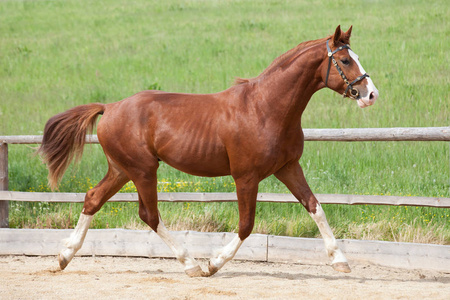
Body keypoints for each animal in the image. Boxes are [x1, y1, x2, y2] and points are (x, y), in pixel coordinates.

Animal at [37, 25, 380, 276]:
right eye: (345, 60)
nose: (370, 95)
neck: (266, 108)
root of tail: (109, 108)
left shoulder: (288, 167)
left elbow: (315, 206)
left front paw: (340, 260)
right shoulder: (246, 177)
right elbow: (246, 225)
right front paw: (214, 263)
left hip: (122, 169)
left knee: (93, 199)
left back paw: (63, 257)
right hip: (143, 170)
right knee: (149, 215)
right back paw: (190, 264)